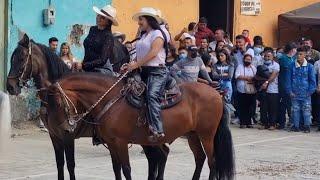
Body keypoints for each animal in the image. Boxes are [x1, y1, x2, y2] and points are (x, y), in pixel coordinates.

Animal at [5, 34, 170, 180]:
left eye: (21, 58)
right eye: (12, 58)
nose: (10, 86)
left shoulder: (68, 135)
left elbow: (70, 165)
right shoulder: (55, 136)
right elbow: (59, 164)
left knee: (161, 154)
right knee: (158, 156)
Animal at [47, 71, 235, 179]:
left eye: (58, 102)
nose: (64, 128)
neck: (110, 100)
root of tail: (216, 93)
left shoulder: (121, 142)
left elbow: (126, 169)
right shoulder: (111, 143)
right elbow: (116, 169)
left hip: (207, 135)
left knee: (212, 161)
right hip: (192, 135)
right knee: (200, 158)